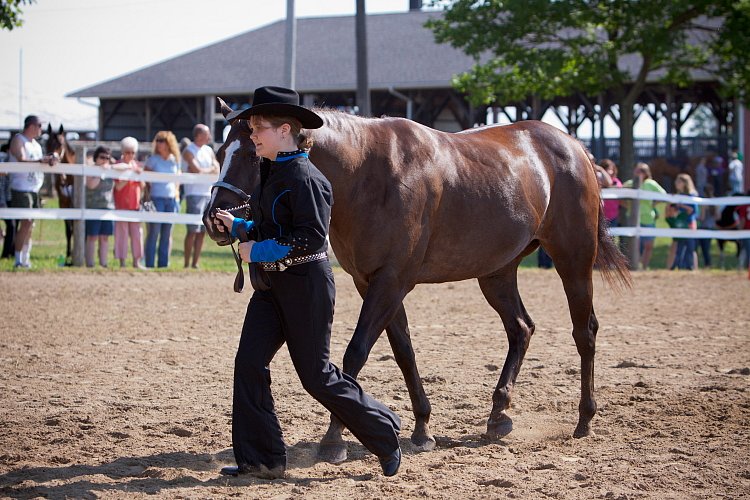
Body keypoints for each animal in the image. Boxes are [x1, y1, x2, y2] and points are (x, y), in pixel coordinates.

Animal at [203, 100, 632, 460]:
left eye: (251, 152)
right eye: (221, 152)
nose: (215, 219)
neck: (366, 173)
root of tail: (575, 147)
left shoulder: (391, 282)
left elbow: (356, 354)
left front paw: (334, 438)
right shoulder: (373, 283)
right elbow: (404, 351)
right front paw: (423, 429)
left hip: (573, 260)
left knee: (584, 332)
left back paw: (584, 418)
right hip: (497, 272)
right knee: (521, 329)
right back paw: (498, 416)